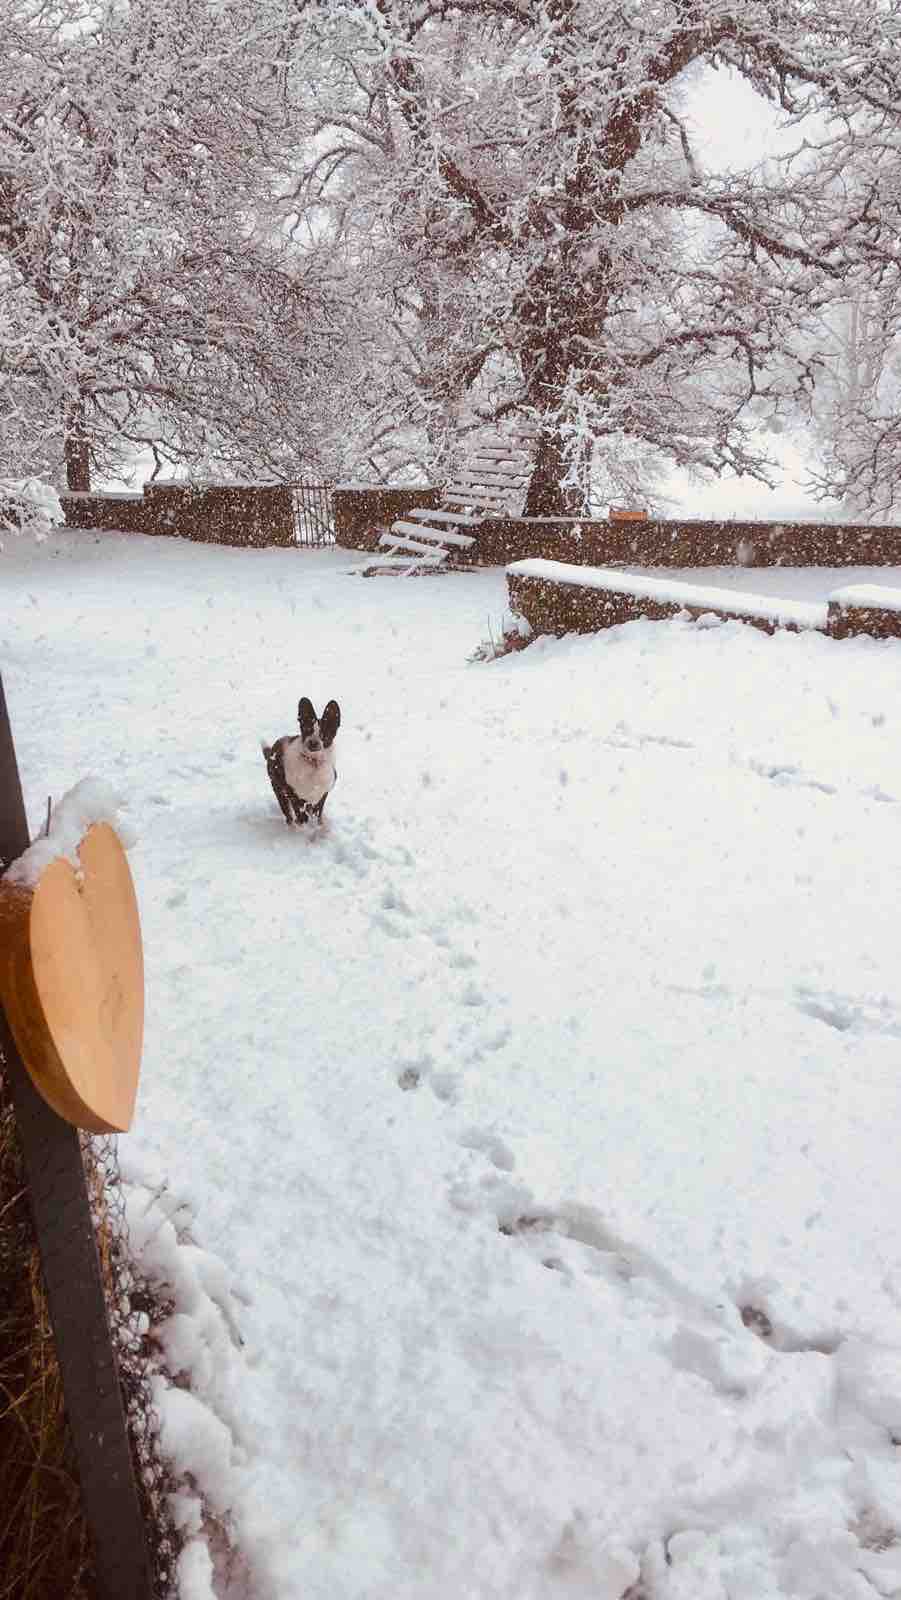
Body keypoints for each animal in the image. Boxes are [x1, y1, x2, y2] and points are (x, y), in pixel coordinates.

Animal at [265, 697, 344, 825]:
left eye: (323, 734)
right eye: (307, 730)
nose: (313, 742)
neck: (313, 763)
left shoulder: (323, 793)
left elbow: (318, 811)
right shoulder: (291, 791)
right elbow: (300, 811)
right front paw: (303, 822)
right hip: (278, 789)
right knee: (289, 814)